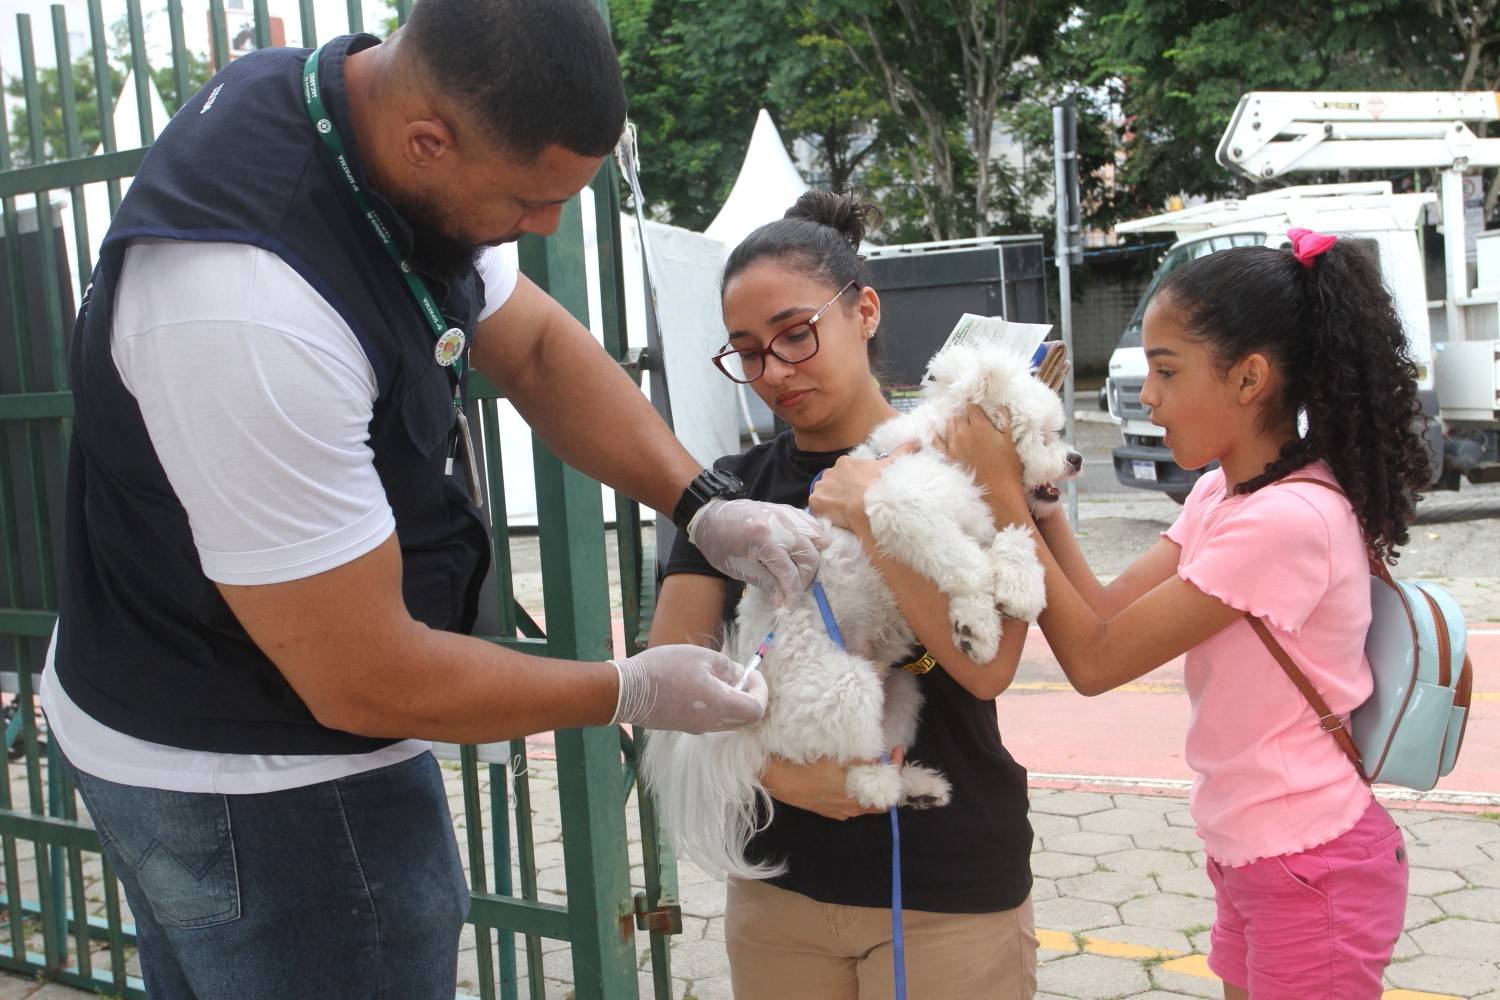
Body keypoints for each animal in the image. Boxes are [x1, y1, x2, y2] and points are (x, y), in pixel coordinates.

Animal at [642, 346, 1080, 881]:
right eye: (1046, 433)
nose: (1076, 459)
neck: (945, 453)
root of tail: (753, 721)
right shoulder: (901, 507)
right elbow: (966, 565)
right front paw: (978, 623)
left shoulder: (976, 523)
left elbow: (1010, 540)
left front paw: (1015, 591)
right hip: (849, 687)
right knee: (855, 777)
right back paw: (891, 787)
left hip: (902, 691)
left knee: (876, 756)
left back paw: (918, 787)